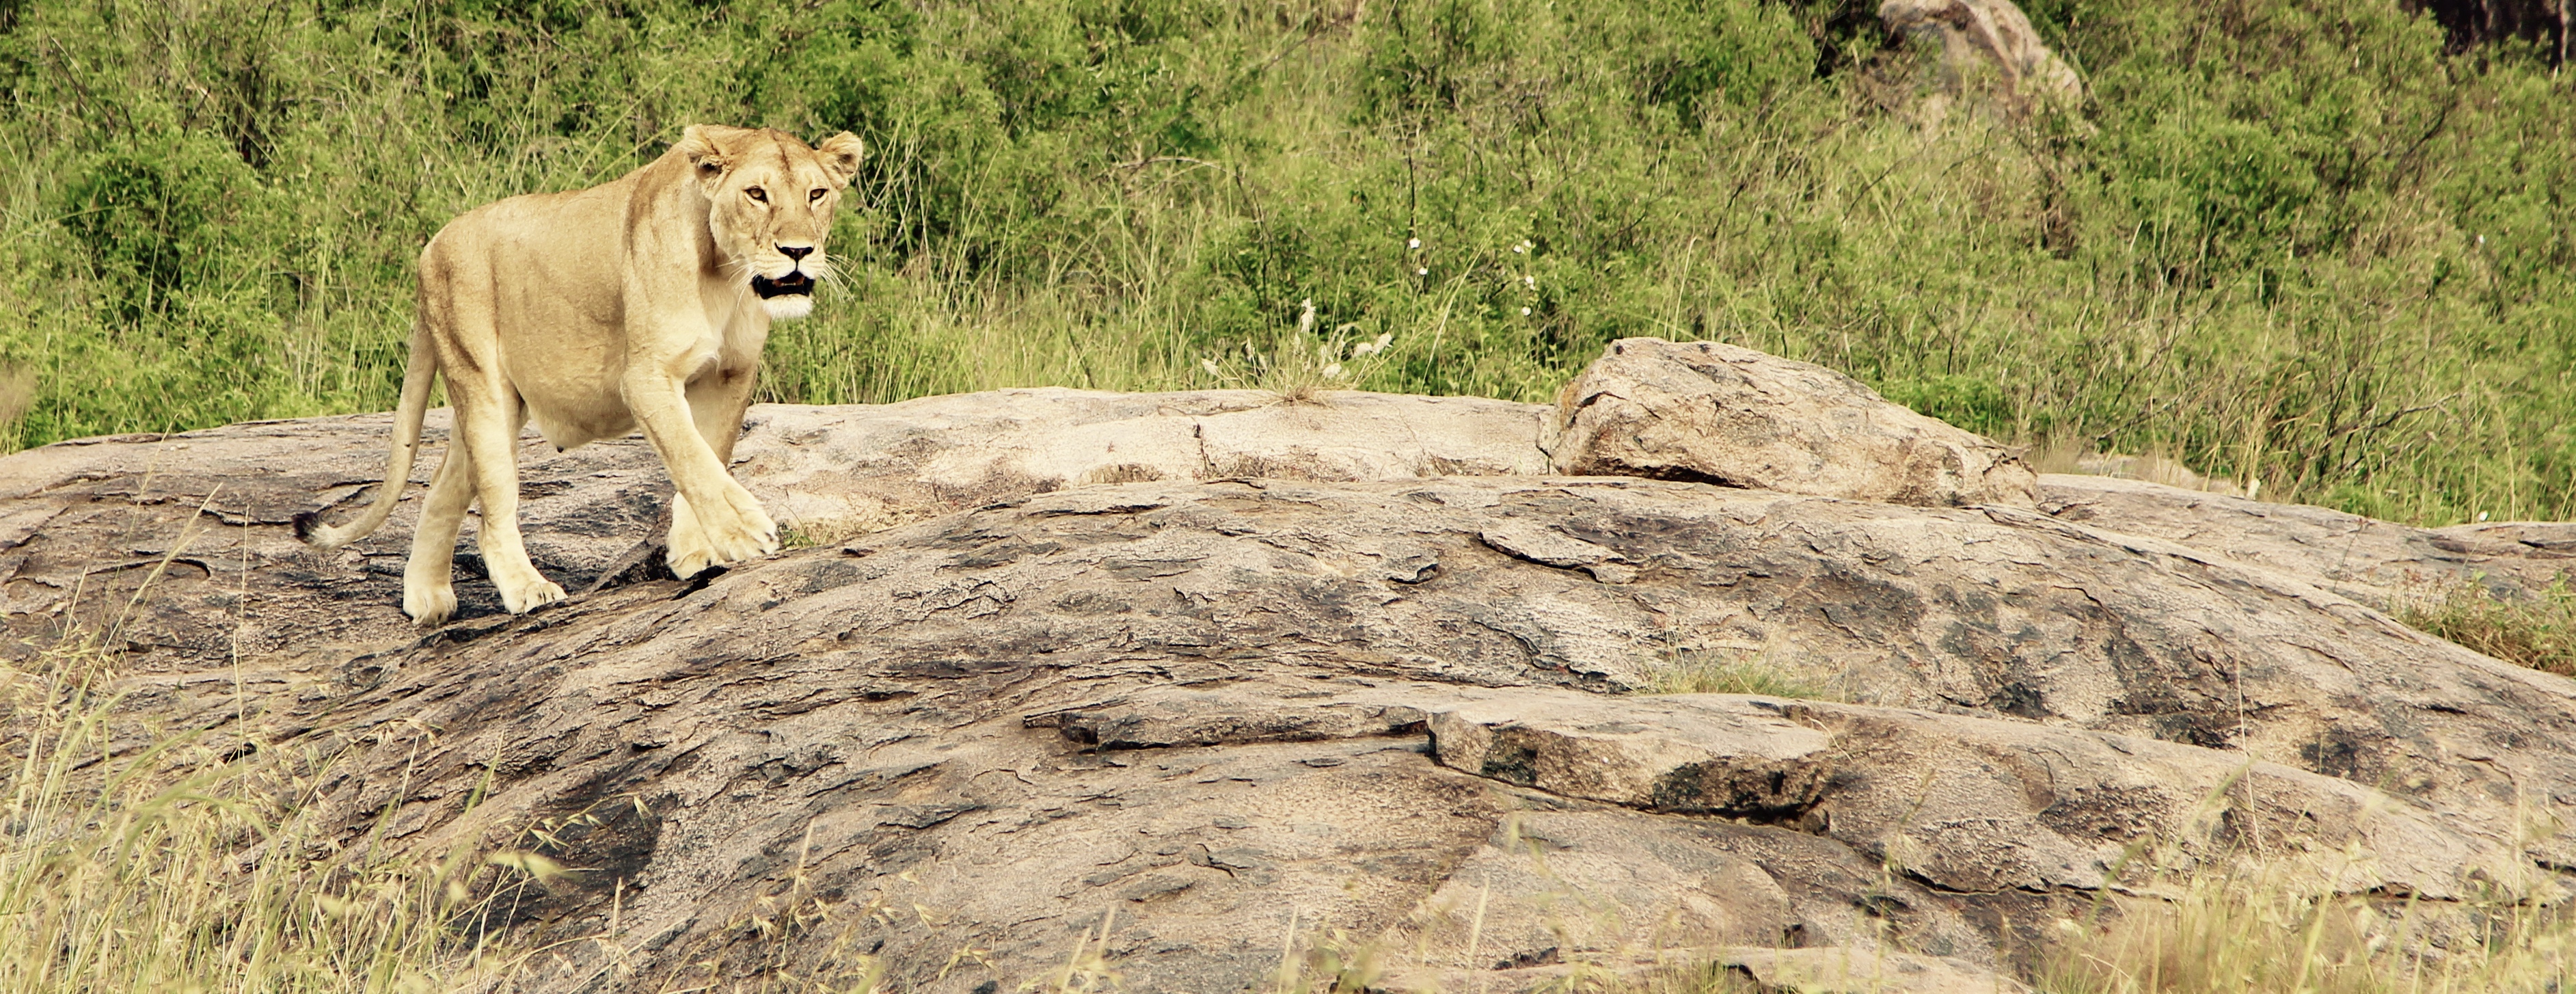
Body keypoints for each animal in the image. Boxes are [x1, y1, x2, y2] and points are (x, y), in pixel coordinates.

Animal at [294, 125, 865, 625]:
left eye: (816, 194)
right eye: (756, 194)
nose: (798, 252)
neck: (727, 274)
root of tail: (429, 248)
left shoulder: (732, 374)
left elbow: (709, 454)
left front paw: (695, 550)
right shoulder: (645, 376)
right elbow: (691, 456)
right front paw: (743, 532)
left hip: (486, 406)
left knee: (442, 487)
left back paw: (426, 599)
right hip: (481, 383)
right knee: (492, 506)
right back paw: (527, 590)